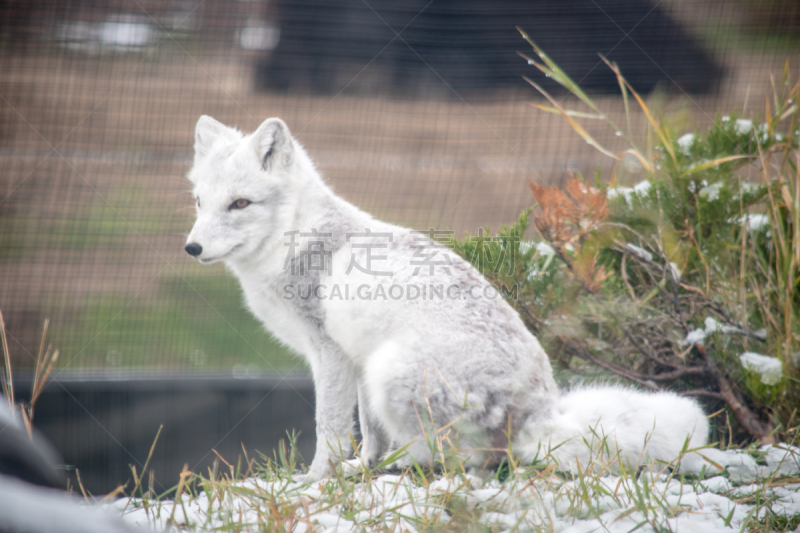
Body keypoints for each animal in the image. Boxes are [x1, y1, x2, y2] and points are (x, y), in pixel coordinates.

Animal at [186, 115, 708, 478]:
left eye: (239, 204)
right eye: (199, 202)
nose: (191, 248)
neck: (295, 237)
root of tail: (540, 411)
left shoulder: (330, 354)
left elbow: (329, 429)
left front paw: (316, 480)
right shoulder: (353, 359)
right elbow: (367, 433)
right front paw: (363, 467)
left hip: (390, 368)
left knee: (462, 460)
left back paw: (418, 463)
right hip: (378, 367)